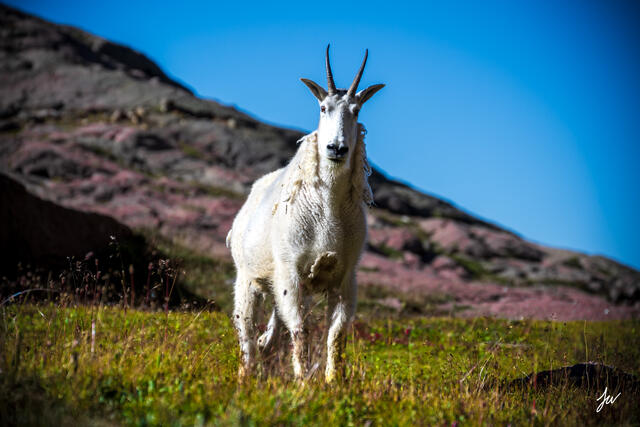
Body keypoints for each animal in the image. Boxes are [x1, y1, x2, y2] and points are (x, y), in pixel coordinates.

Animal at [227, 45, 384, 382]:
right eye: (323, 108)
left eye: (356, 111)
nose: (336, 148)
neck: (328, 210)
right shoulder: (292, 273)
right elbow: (300, 330)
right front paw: (302, 383)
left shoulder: (344, 279)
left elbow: (336, 334)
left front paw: (333, 382)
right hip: (248, 277)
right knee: (246, 330)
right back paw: (246, 375)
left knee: (269, 336)